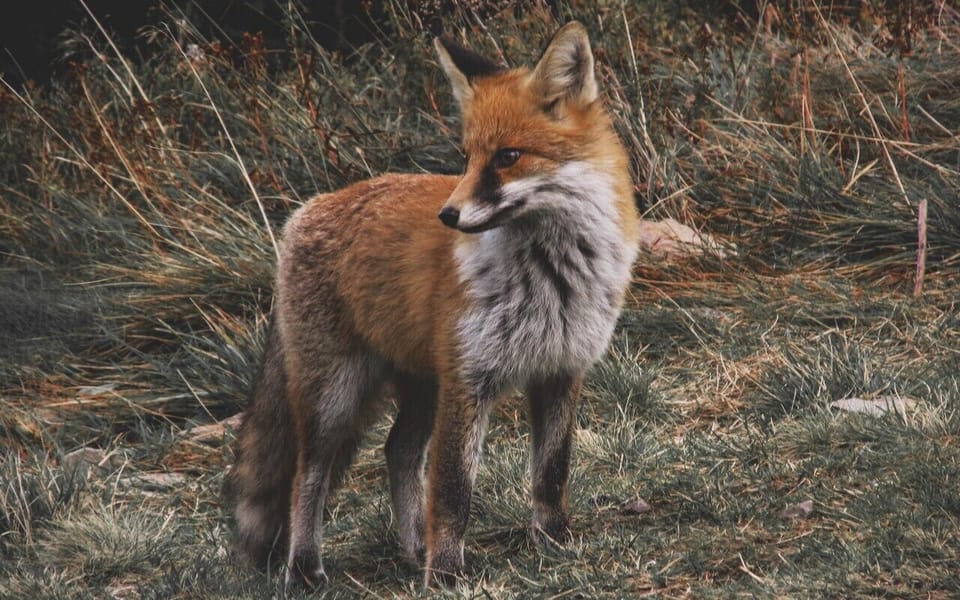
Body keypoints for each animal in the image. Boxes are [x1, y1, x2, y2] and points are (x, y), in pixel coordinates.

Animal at [227, 21, 640, 588]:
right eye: (466, 157)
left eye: (507, 157)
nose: (448, 215)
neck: (550, 277)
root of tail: (306, 211)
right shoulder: (469, 380)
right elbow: (452, 490)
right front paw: (444, 573)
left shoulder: (561, 370)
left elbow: (551, 473)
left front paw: (553, 542)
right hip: (335, 396)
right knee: (306, 476)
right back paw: (306, 567)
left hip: (422, 386)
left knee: (397, 451)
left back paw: (411, 548)